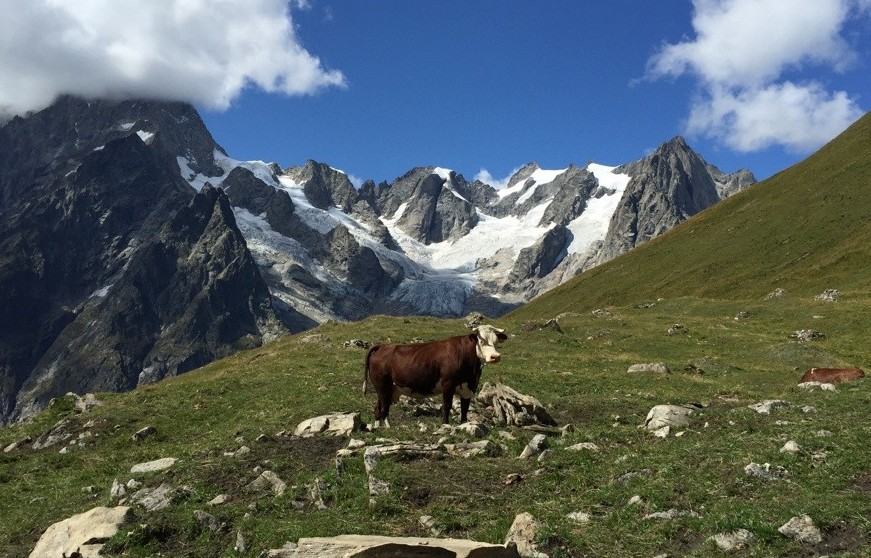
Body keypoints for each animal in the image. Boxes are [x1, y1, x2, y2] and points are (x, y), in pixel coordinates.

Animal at [362, 324, 510, 428]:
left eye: (496, 341)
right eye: (481, 341)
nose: (495, 356)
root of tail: (382, 346)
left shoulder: (469, 388)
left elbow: (465, 408)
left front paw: (464, 424)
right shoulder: (448, 383)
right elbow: (447, 405)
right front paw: (445, 424)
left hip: (388, 389)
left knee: (380, 408)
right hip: (382, 386)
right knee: (382, 408)